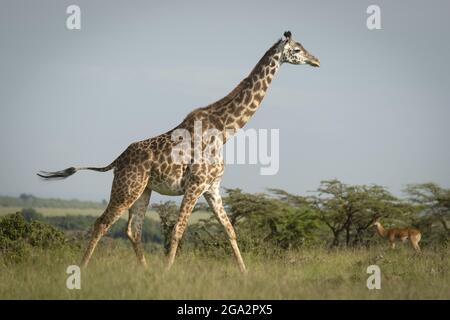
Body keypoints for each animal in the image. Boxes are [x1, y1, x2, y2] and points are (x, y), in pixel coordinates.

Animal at [38, 30, 320, 272]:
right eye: (297, 49)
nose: (316, 60)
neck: (224, 130)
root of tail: (117, 160)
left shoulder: (212, 188)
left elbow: (229, 230)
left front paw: (245, 274)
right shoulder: (195, 184)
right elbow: (178, 229)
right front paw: (167, 273)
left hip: (143, 190)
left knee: (132, 229)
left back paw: (145, 271)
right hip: (127, 187)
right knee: (102, 223)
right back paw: (83, 268)